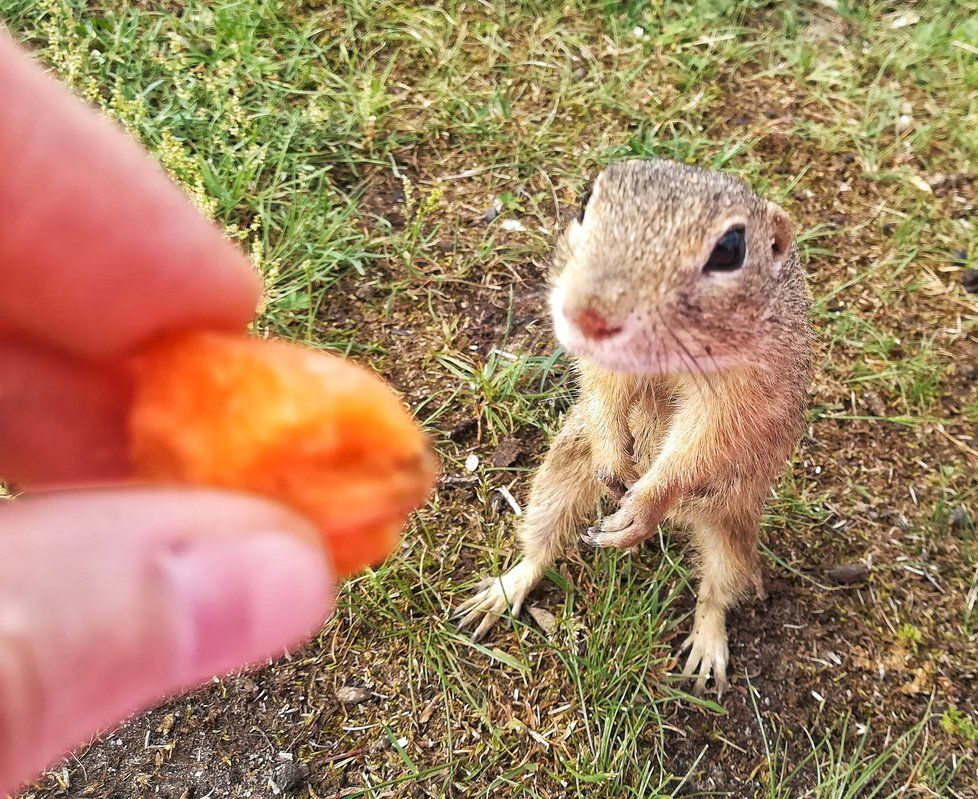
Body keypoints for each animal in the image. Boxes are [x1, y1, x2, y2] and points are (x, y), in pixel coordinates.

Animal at [456, 158, 808, 692]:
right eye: (585, 203)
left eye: (730, 249)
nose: (586, 315)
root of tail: (685, 521)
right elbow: (604, 390)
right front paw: (613, 457)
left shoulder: (745, 394)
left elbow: (705, 442)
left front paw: (645, 502)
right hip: (559, 474)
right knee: (542, 542)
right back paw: (504, 588)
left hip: (731, 528)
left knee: (717, 591)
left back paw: (707, 647)